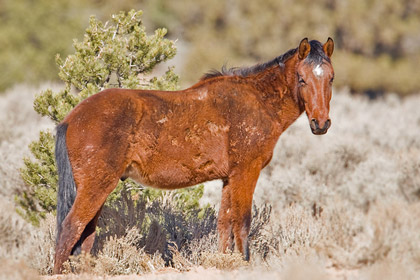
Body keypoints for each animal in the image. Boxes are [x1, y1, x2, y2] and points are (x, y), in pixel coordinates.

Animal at [52, 37, 334, 274]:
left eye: (330, 78)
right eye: (301, 79)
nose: (320, 124)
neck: (257, 101)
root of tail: (72, 117)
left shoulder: (229, 179)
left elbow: (224, 224)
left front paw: (223, 262)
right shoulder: (246, 172)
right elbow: (242, 222)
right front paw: (244, 264)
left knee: (85, 234)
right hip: (96, 186)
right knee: (70, 228)